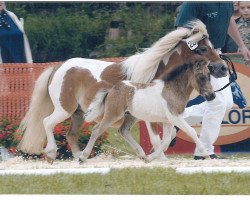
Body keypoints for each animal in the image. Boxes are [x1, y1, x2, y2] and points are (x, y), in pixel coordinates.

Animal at [17, 19, 229, 162]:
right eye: (202, 49)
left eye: (212, 46)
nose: (223, 68)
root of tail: (57, 67)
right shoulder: (149, 116)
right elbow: (156, 138)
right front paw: (159, 158)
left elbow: (168, 136)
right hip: (65, 109)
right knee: (47, 123)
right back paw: (52, 153)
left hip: (78, 113)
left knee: (71, 135)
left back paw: (80, 157)